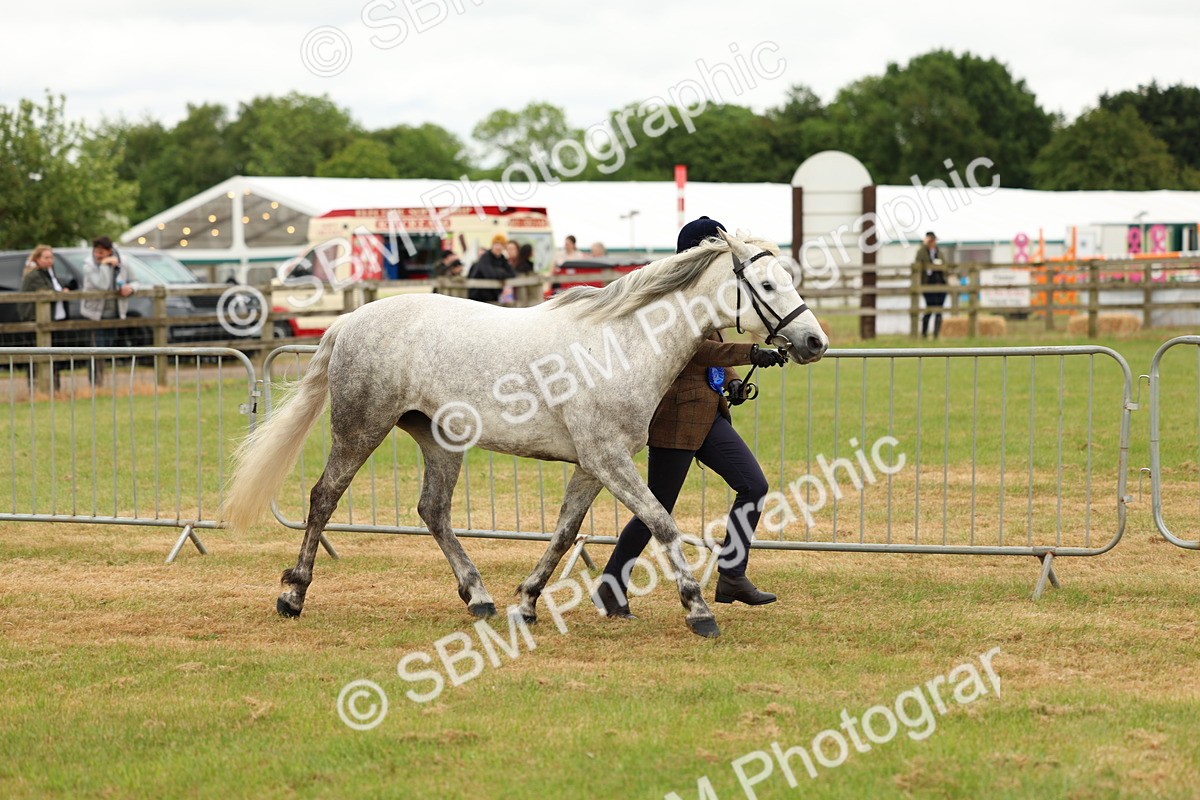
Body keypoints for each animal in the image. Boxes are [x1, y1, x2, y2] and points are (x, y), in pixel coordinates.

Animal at [222, 230, 828, 638]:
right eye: (768, 284)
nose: (814, 342)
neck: (622, 345)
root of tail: (348, 322)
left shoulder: (593, 465)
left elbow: (564, 533)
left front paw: (527, 602)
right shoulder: (608, 459)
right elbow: (660, 522)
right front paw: (698, 611)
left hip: (440, 441)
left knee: (433, 511)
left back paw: (480, 597)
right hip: (360, 427)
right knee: (324, 497)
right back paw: (293, 594)